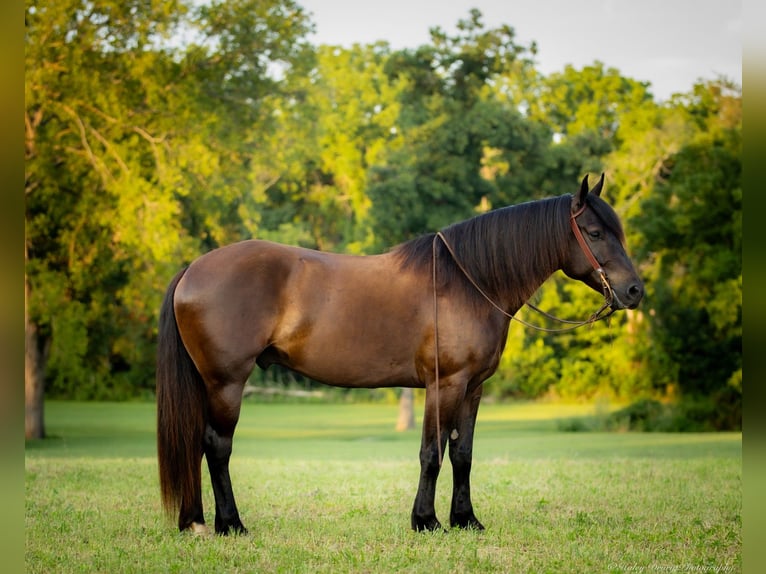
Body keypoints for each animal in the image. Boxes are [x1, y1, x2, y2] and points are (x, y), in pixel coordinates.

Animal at [159, 174, 644, 536]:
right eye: (595, 233)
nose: (634, 290)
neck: (467, 284)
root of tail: (193, 269)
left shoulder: (472, 389)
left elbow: (462, 453)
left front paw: (465, 520)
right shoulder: (444, 384)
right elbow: (432, 453)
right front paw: (426, 521)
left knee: (197, 444)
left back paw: (196, 522)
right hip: (226, 383)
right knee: (216, 446)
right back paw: (230, 524)